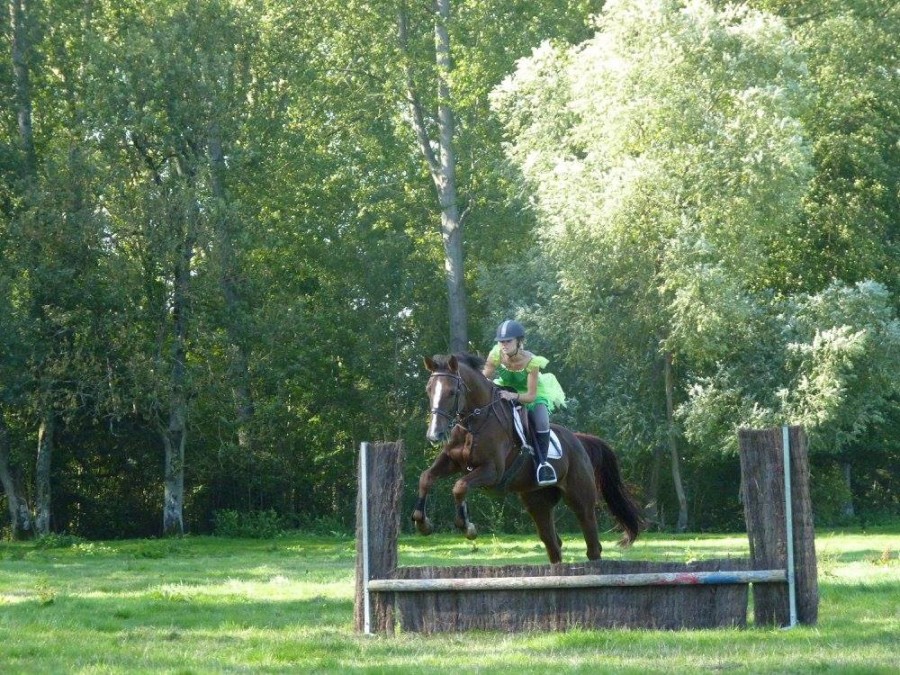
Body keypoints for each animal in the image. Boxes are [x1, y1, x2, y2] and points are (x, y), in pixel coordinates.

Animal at [414, 352, 644, 563]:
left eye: (452, 392)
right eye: (429, 390)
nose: (435, 435)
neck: (474, 424)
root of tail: (579, 440)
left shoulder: (492, 471)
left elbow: (459, 486)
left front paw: (467, 527)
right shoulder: (450, 461)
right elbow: (426, 477)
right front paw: (423, 523)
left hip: (580, 498)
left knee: (592, 542)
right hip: (537, 501)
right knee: (552, 542)